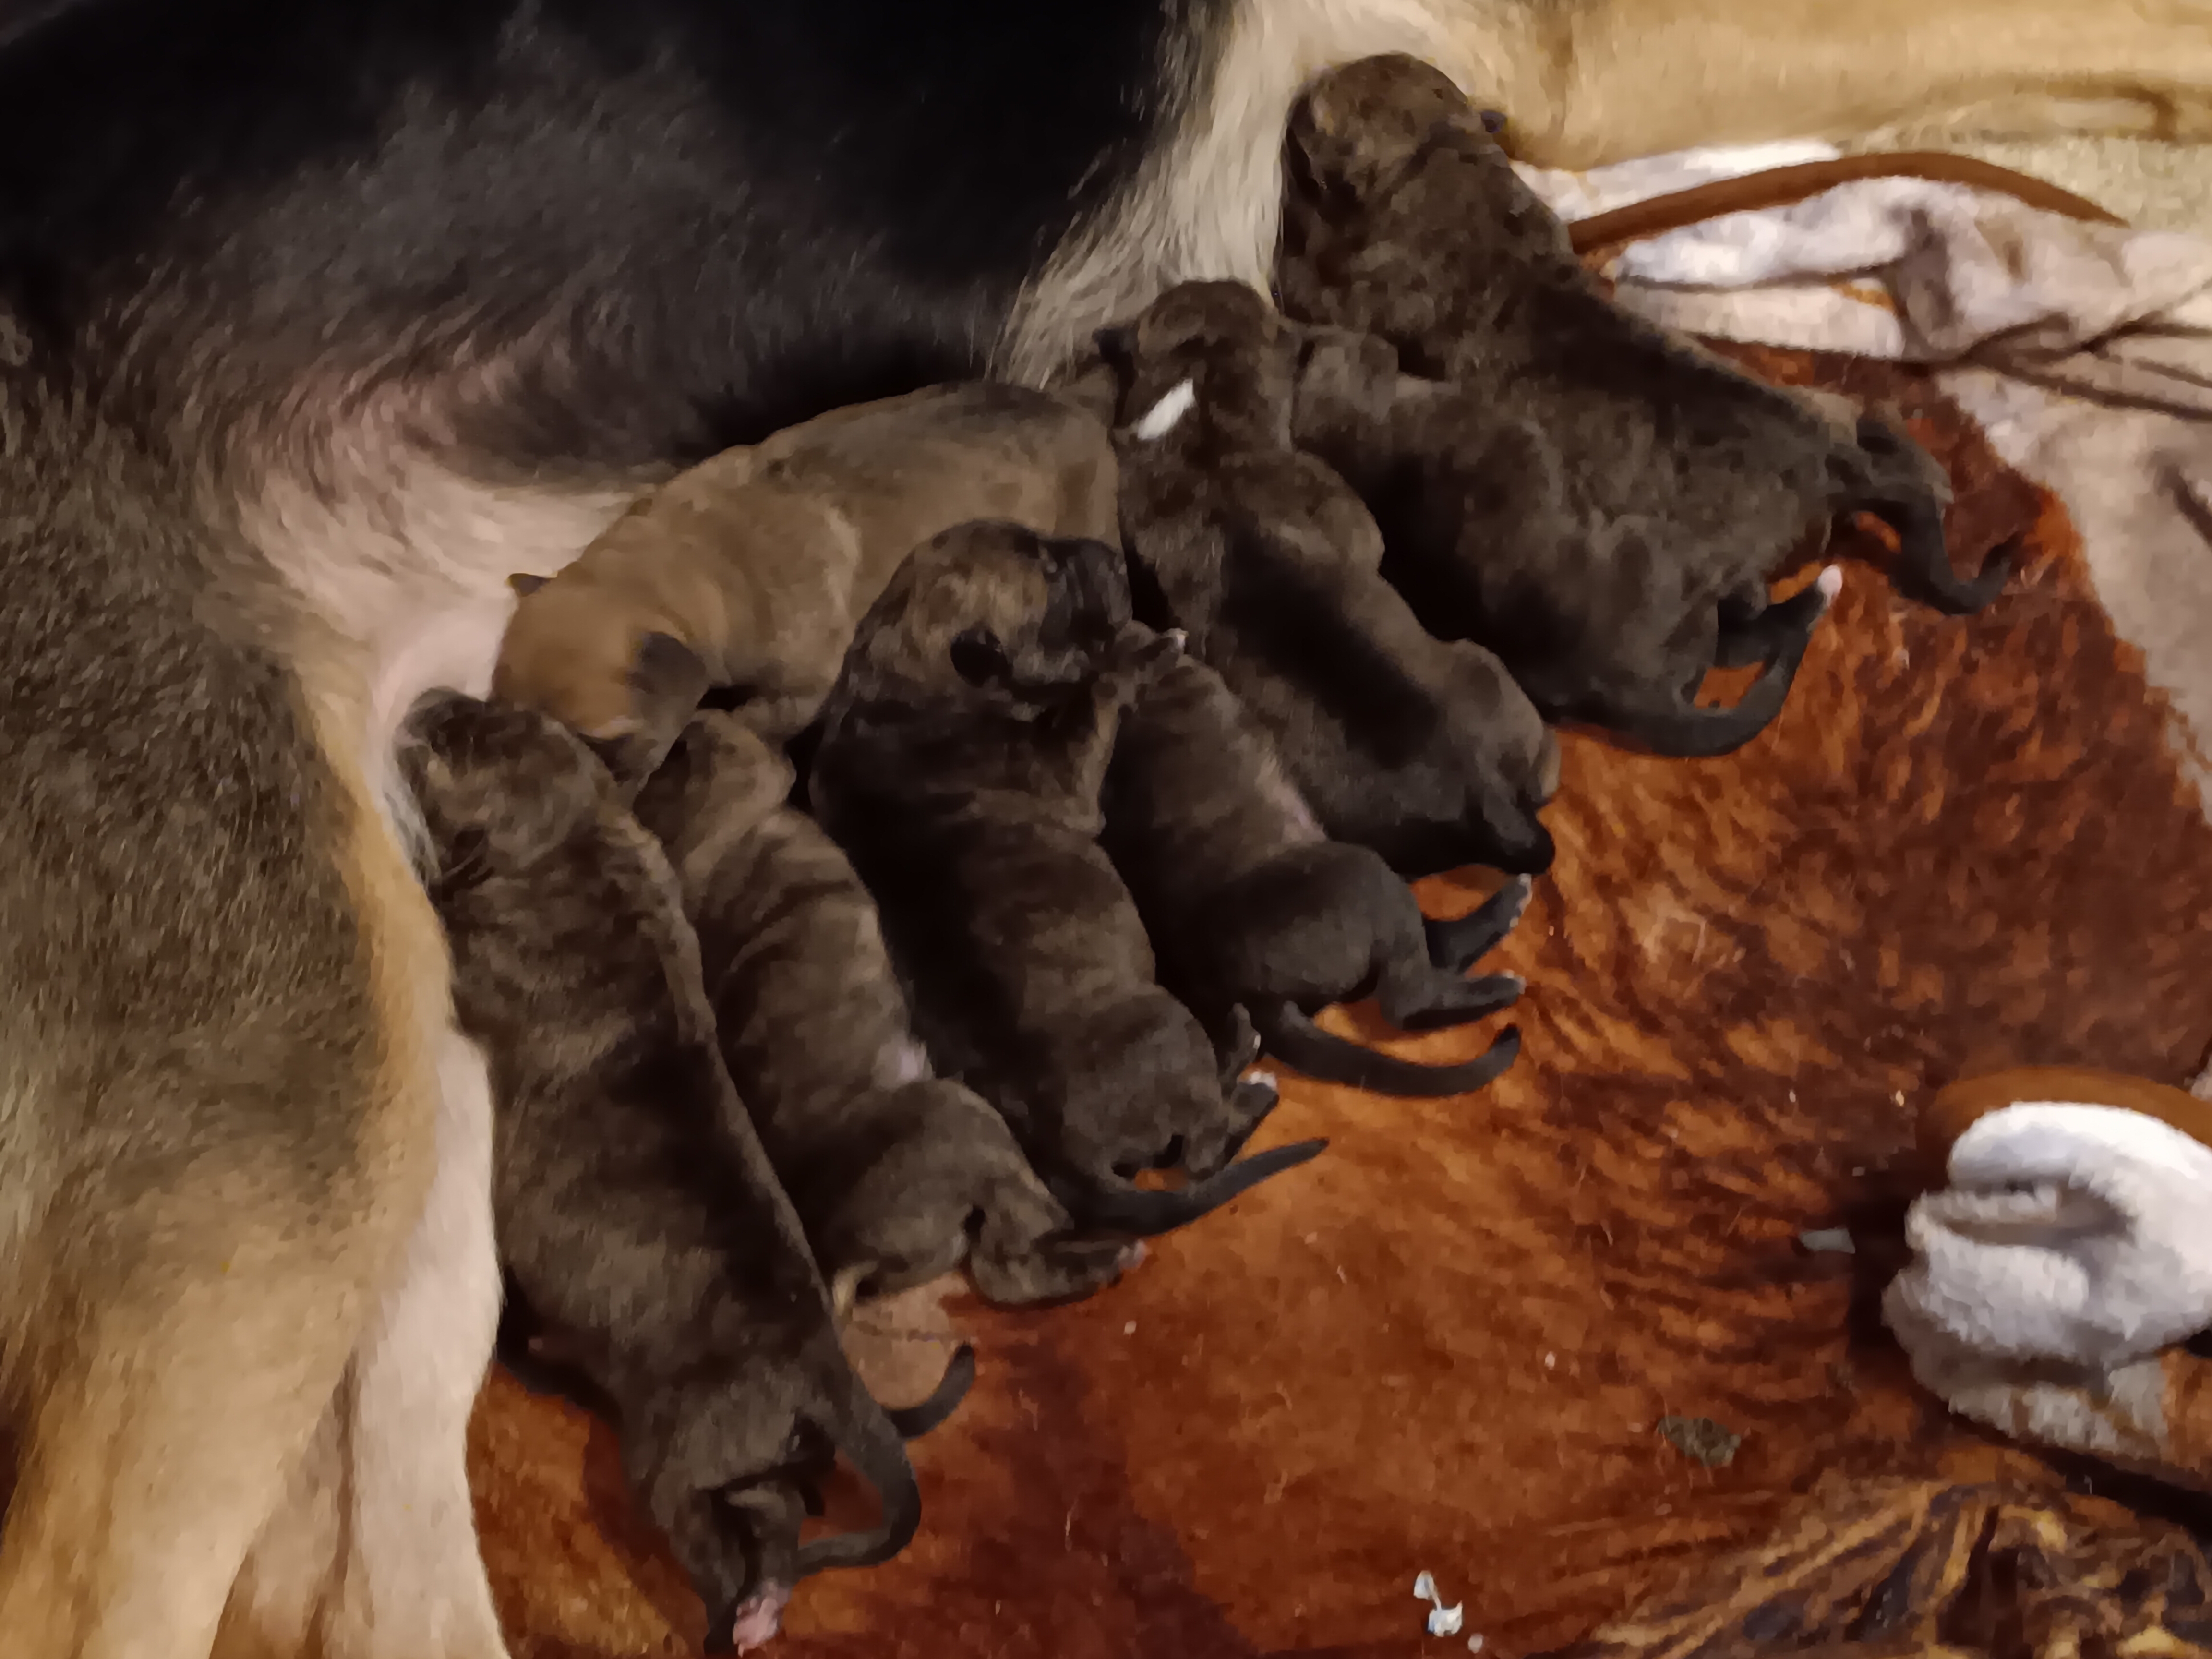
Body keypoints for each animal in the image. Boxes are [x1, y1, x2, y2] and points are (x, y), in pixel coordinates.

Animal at [398, 689, 964, 1651]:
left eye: (452, 742)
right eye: (485, 710)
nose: (431, 700)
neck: (580, 844)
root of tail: (824, 1367)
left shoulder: (481, 945)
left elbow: (447, 915)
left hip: (673, 1463)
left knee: (726, 1556)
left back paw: (742, 1616)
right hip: (747, 1458)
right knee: (775, 1519)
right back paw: (767, 1607)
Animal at [811, 518, 1328, 1230]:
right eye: (1051, 577)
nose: (1110, 553)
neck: (903, 679)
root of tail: (1063, 1154)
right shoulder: (1064, 774)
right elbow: (1092, 700)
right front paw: (1143, 656)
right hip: (1169, 1025)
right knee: (1201, 1149)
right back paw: (1250, 1070)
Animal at [1277, 57, 2007, 755]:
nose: (1311, 84)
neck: (1440, 157)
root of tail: (1836, 467)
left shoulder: (1349, 301)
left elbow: (1305, 280)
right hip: (1827, 412)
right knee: (1876, 430)